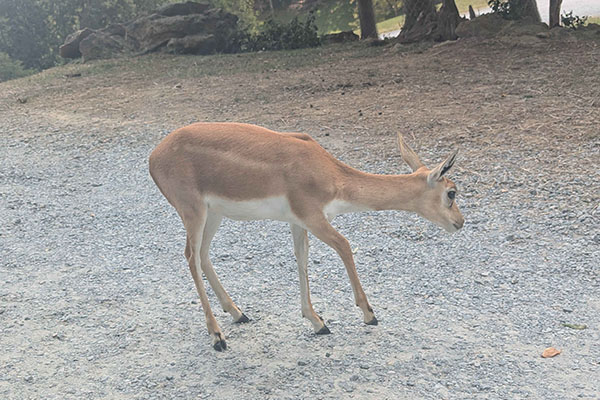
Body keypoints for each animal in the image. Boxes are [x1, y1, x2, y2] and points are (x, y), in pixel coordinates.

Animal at [149, 122, 464, 350]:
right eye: (451, 192)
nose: (460, 223)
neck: (332, 176)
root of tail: (153, 156)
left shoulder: (298, 221)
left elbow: (302, 258)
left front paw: (318, 322)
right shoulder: (313, 216)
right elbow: (344, 245)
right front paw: (369, 315)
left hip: (213, 213)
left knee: (202, 255)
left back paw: (239, 313)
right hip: (192, 209)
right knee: (190, 257)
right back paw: (217, 337)